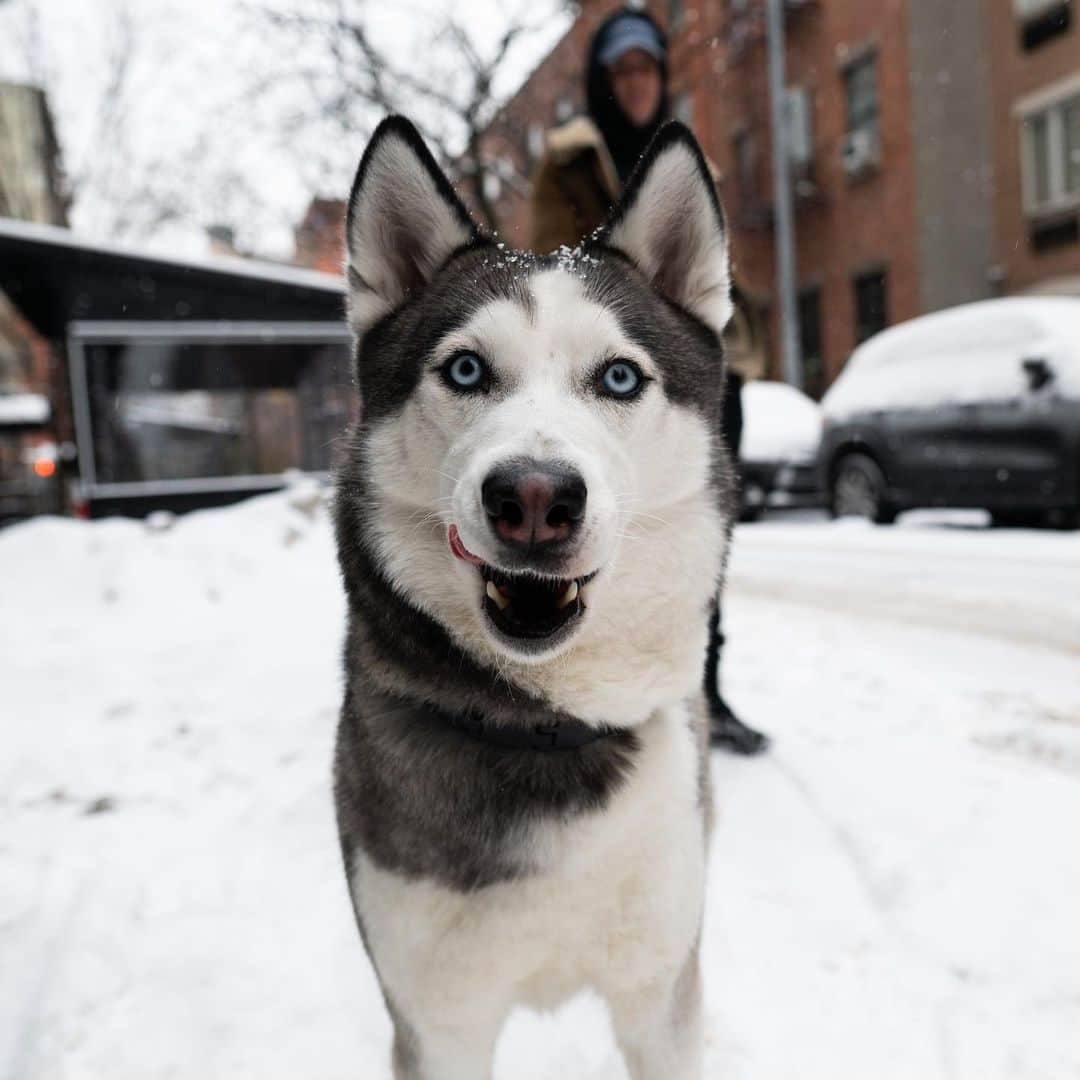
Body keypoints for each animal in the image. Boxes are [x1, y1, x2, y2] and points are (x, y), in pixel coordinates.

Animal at [328, 113, 734, 1075]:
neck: (550, 723)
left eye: (620, 377)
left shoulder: (662, 995)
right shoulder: (437, 1021)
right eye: (466, 371)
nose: (536, 499)